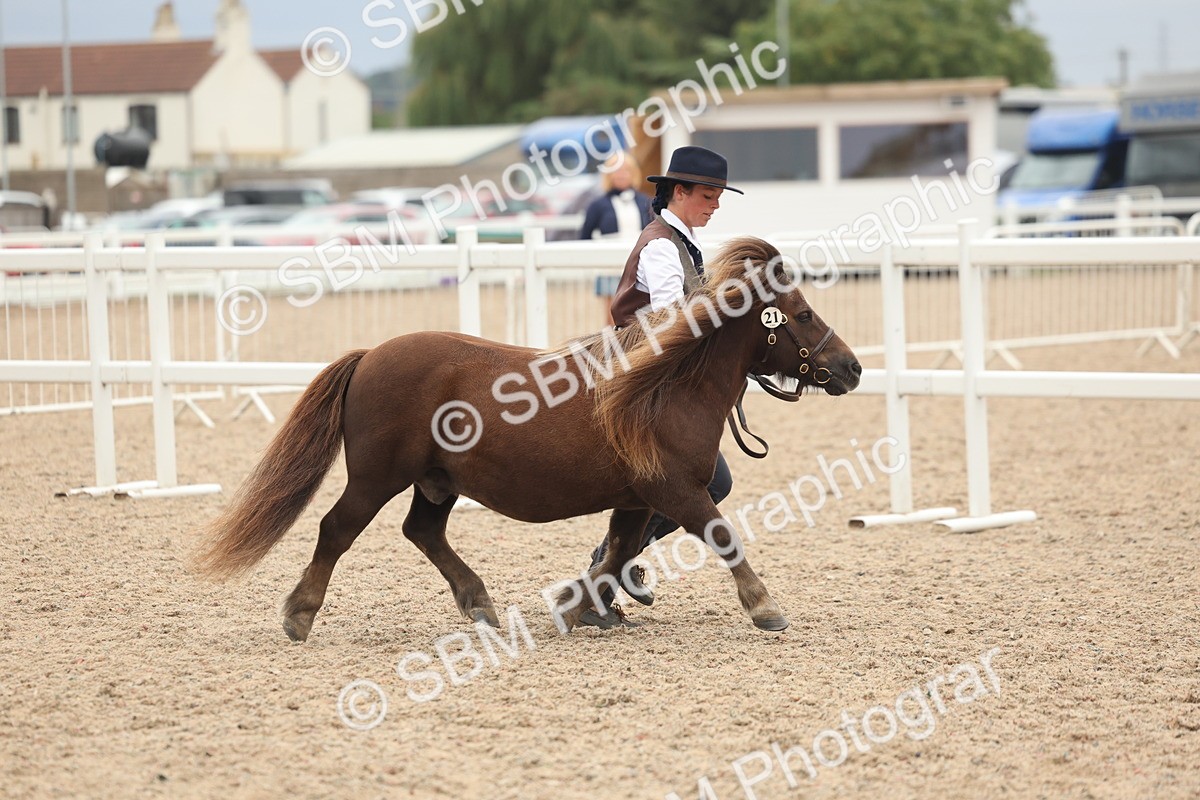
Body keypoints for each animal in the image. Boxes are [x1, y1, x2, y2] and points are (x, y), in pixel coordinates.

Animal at [194, 236, 861, 641]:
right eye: (802, 314)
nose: (851, 368)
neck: (664, 387)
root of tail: (370, 356)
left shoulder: (637, 498)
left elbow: (618, 553)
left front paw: (581, 605)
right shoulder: (675, 490)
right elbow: (723, 537)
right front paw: (765, 607)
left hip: (437, 482)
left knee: (422, 532)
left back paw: (479, 603)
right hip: (377, 477)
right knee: (337, 529)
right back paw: (299, 615)